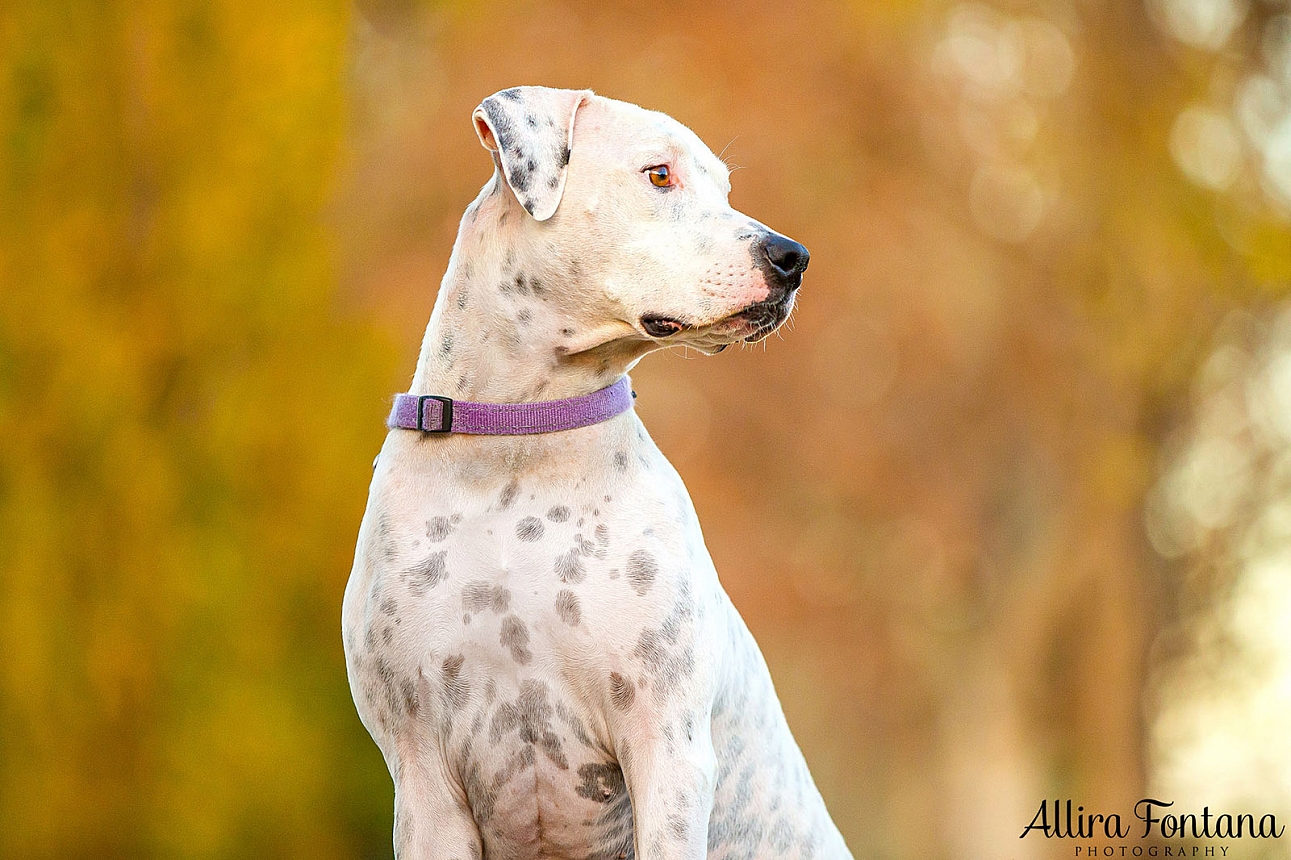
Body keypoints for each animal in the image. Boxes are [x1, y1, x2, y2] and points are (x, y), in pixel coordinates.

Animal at [338, 85, 852, 857]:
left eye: (725, 189)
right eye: (659, 174)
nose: (792, 257)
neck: (519, 443)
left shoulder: (667, 754)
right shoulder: (424, 779)